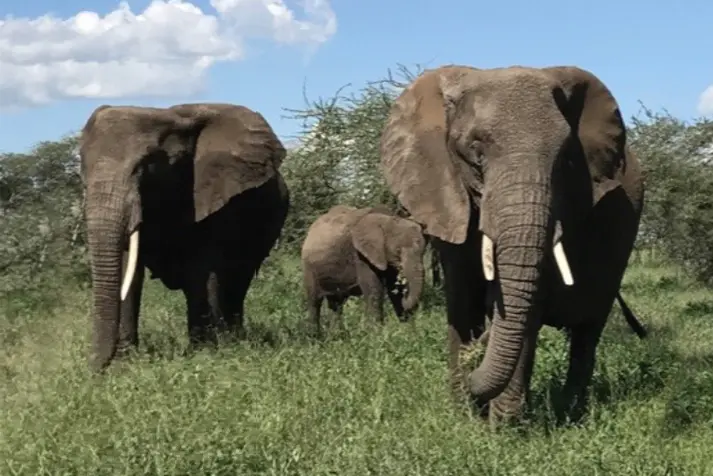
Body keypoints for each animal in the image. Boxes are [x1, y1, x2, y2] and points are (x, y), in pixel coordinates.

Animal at [79, 102, 289, 372]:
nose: (94, 369)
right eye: (82, 166)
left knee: (237, 280)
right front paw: (124, 364)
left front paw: (204, 355)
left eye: (147, 165)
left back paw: (233, 340)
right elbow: (129, 270)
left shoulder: (215, 195)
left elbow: (202, 269)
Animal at [300, 205, 427, 334]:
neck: (385, 219)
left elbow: (393, 288)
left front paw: (406, 329)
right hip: (308, 268)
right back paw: (315, 335)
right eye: (398, 251)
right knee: (314, 302)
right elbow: (374, 289)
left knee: (336, 304)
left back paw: (337, 335)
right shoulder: (360, 255)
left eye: (424, 251)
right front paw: (376, 333)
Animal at [378, 64, 646, 426]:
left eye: (564, 158)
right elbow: (461, 300)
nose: (475, 359)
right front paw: (464, 417)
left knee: (587, 333)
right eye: (476, 152)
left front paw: (501, 427)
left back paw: (570, 413)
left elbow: (527, 306)